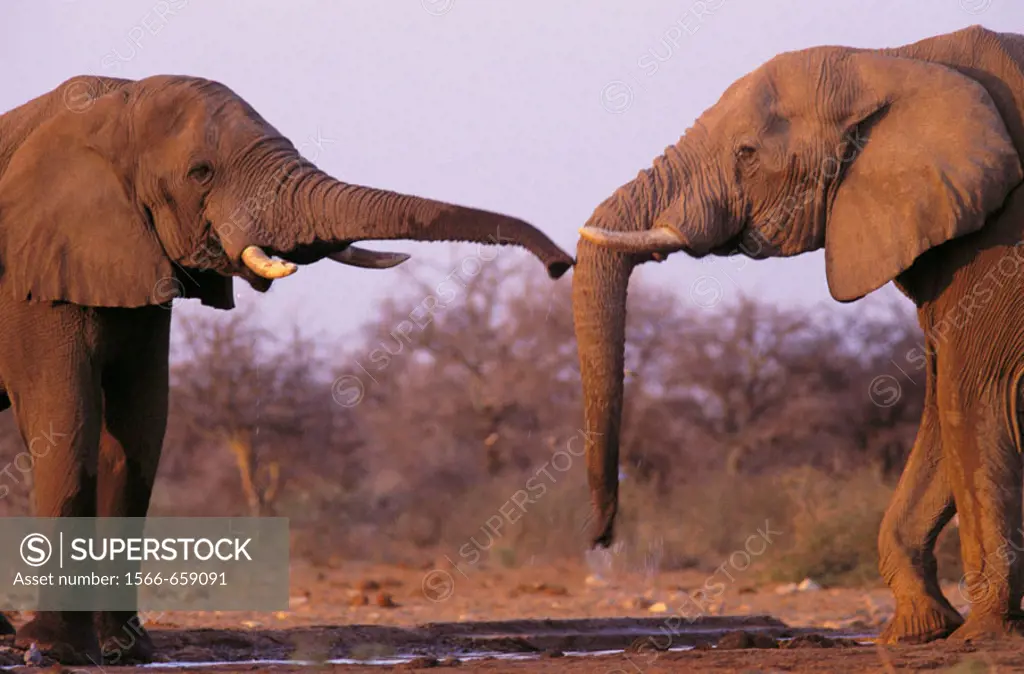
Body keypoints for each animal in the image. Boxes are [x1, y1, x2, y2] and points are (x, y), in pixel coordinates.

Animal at [0, 74, 573, 659]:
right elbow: (66, 422)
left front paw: (127, 652)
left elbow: (140, 430)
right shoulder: (32, 272)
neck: (113, 106)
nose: (561, 264)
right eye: (200, 172)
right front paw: (57, 652)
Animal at [573, 26, 1024, 643]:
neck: (895, 62)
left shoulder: (1005, 235)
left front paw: (980, 635)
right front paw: (917, 630)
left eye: (746, 153)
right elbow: (941, 395)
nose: (602, 539)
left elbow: (973, 390)